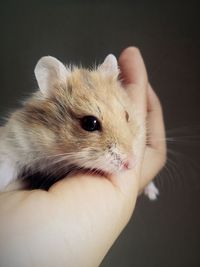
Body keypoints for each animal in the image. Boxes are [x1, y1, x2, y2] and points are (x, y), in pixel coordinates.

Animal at [0, 54, 159, 200]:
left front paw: (153, 194)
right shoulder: (15, 142)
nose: (131, 164)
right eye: (90, 123)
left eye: (126, 115)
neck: (58, 154)